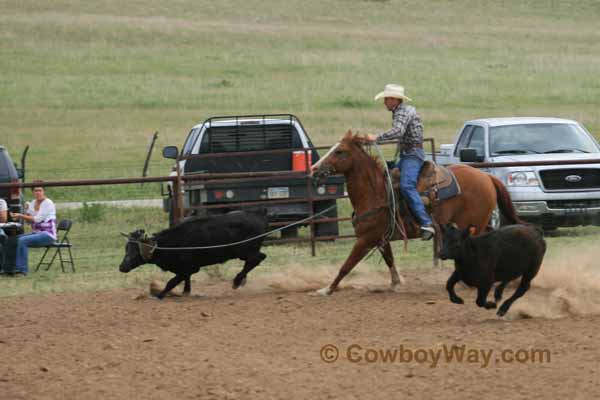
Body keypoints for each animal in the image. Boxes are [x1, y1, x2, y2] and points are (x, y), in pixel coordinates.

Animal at [312, 130, 524, 296]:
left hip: (472, 225)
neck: (376, 193)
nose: (314, 169)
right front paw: (396, 283)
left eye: (339, 151)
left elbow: (346, 266)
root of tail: (487, 177)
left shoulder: (366, 238)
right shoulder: (381, 238)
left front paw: (326, 289)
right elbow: (389, 259)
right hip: (483, 222)